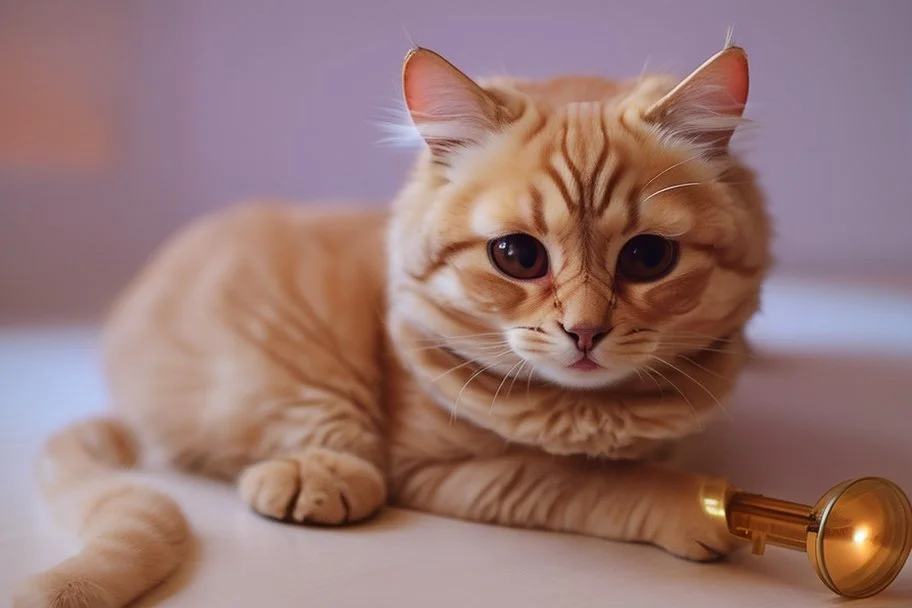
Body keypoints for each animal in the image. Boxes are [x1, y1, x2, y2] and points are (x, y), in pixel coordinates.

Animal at [14, 42, 768, 608]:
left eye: (649, 258)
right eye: (518, 256)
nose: (586, 332)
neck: (592, 416)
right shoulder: (438, 470)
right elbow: (585, 483)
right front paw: (700, 507)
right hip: (304, 375)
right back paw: (313, 478)